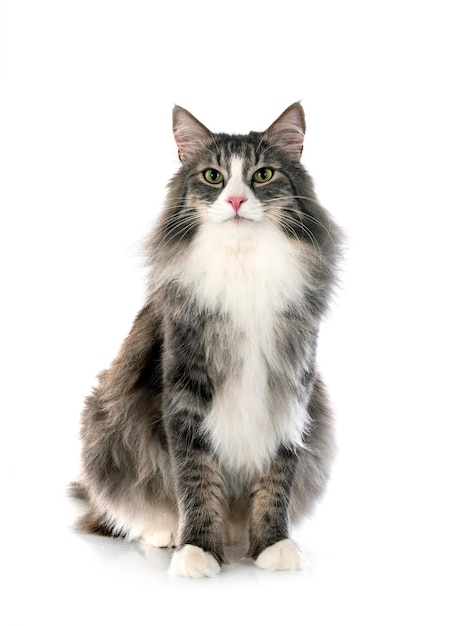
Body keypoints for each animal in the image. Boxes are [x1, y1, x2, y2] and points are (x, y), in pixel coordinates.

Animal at [73, 102, 344, 576]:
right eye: (213, 176)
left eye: (263, 175)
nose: (235, 200)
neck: (243, 266)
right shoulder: (185, 392)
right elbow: (195, 478)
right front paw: (197, 549)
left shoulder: (292, 386)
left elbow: (278, 478)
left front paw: (273, 545)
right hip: (105, 422)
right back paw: (165, 532)